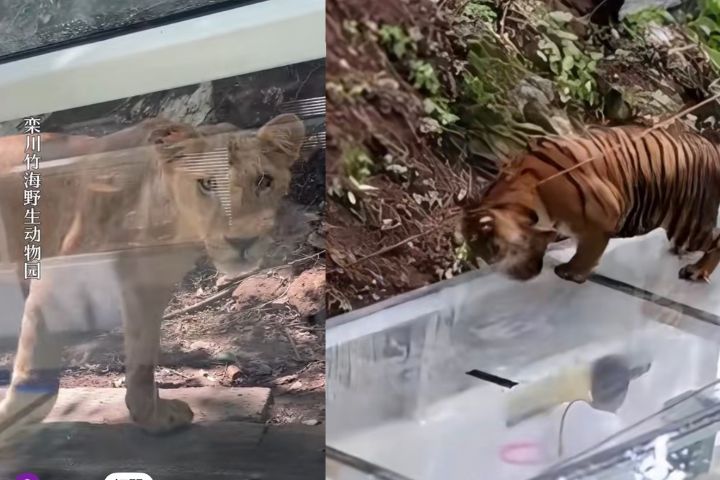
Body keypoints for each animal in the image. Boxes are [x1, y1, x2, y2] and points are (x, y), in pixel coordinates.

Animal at [459, 124, 720, 284]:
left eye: (495, 251)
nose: (516, 278)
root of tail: (712, 146)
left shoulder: (603, 220)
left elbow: (587, 251)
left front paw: (571, 272)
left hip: (686, 225)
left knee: (715, 239)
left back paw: (697, 271)